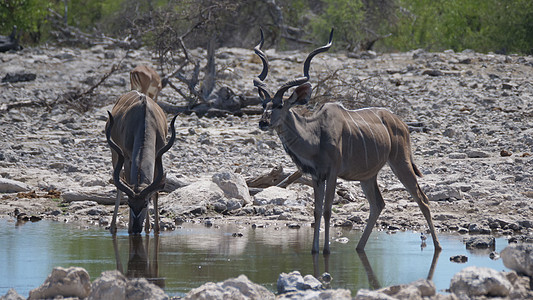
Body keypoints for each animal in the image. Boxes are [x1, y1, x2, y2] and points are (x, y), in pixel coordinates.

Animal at [106, 90, 177, 236]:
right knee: (118, 184)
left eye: (145, 203)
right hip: (115, 153)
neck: (144, 120)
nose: (135, 229)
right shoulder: (127, 157)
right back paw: (113, 227)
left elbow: (155, 192)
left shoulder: (158, 156)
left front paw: (153, 228)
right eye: (129, 203)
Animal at [254, 29, 440, 253]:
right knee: (378, 204)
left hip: (400, 162)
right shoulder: (316, 176)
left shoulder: (332, 173)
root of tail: (401, 124)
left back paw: (438, 246)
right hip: (367, 176)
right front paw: (314, 250)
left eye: (280, 105)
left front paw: (326, 250)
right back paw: (359, 247)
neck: (315, 135)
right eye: (263, 104)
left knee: (422, 199)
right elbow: (316, 211)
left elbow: (327, 210)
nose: (263, 122)